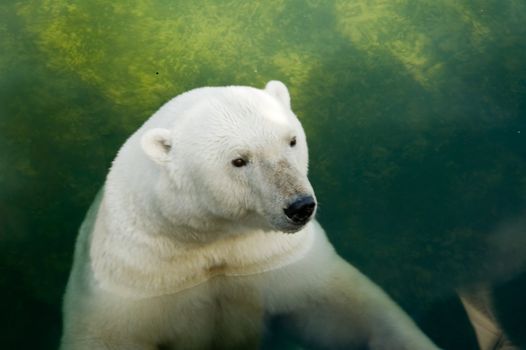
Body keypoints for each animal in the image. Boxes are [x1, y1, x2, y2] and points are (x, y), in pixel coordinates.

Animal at [60, 80, 442, 348]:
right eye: (239, 160)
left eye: (291, 140)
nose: (300, 206)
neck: (209, 236)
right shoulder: (137, 281)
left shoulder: (274, 258)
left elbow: (341, 309)